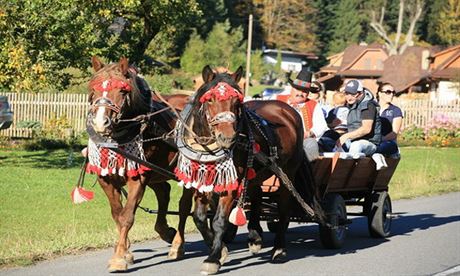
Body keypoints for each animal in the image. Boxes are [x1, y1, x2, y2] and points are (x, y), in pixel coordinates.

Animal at [86, 56, 192, 272]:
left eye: (122, 91)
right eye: (93, 89)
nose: (101, 122)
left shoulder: (139, 177)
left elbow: (127, 216)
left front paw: (119, 257)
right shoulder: (106, 178)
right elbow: (117, 215)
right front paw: (125, 252)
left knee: (185, 205)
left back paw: (178, 244)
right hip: (157, 172)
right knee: (164, 191)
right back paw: (165, 231)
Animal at [178, 65, 322, 274]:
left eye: (237, 101)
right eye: (210, 99)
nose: (227, 137)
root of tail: (288, 110)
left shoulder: (230, 184)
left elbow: (219, 220)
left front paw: (213, 258)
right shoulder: (201, 180)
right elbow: (199, 218)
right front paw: (221, 249)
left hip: (288, 173)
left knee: (284, 209)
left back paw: (279, 249)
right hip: (256, 171)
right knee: (256, 195)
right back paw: (255, 236)